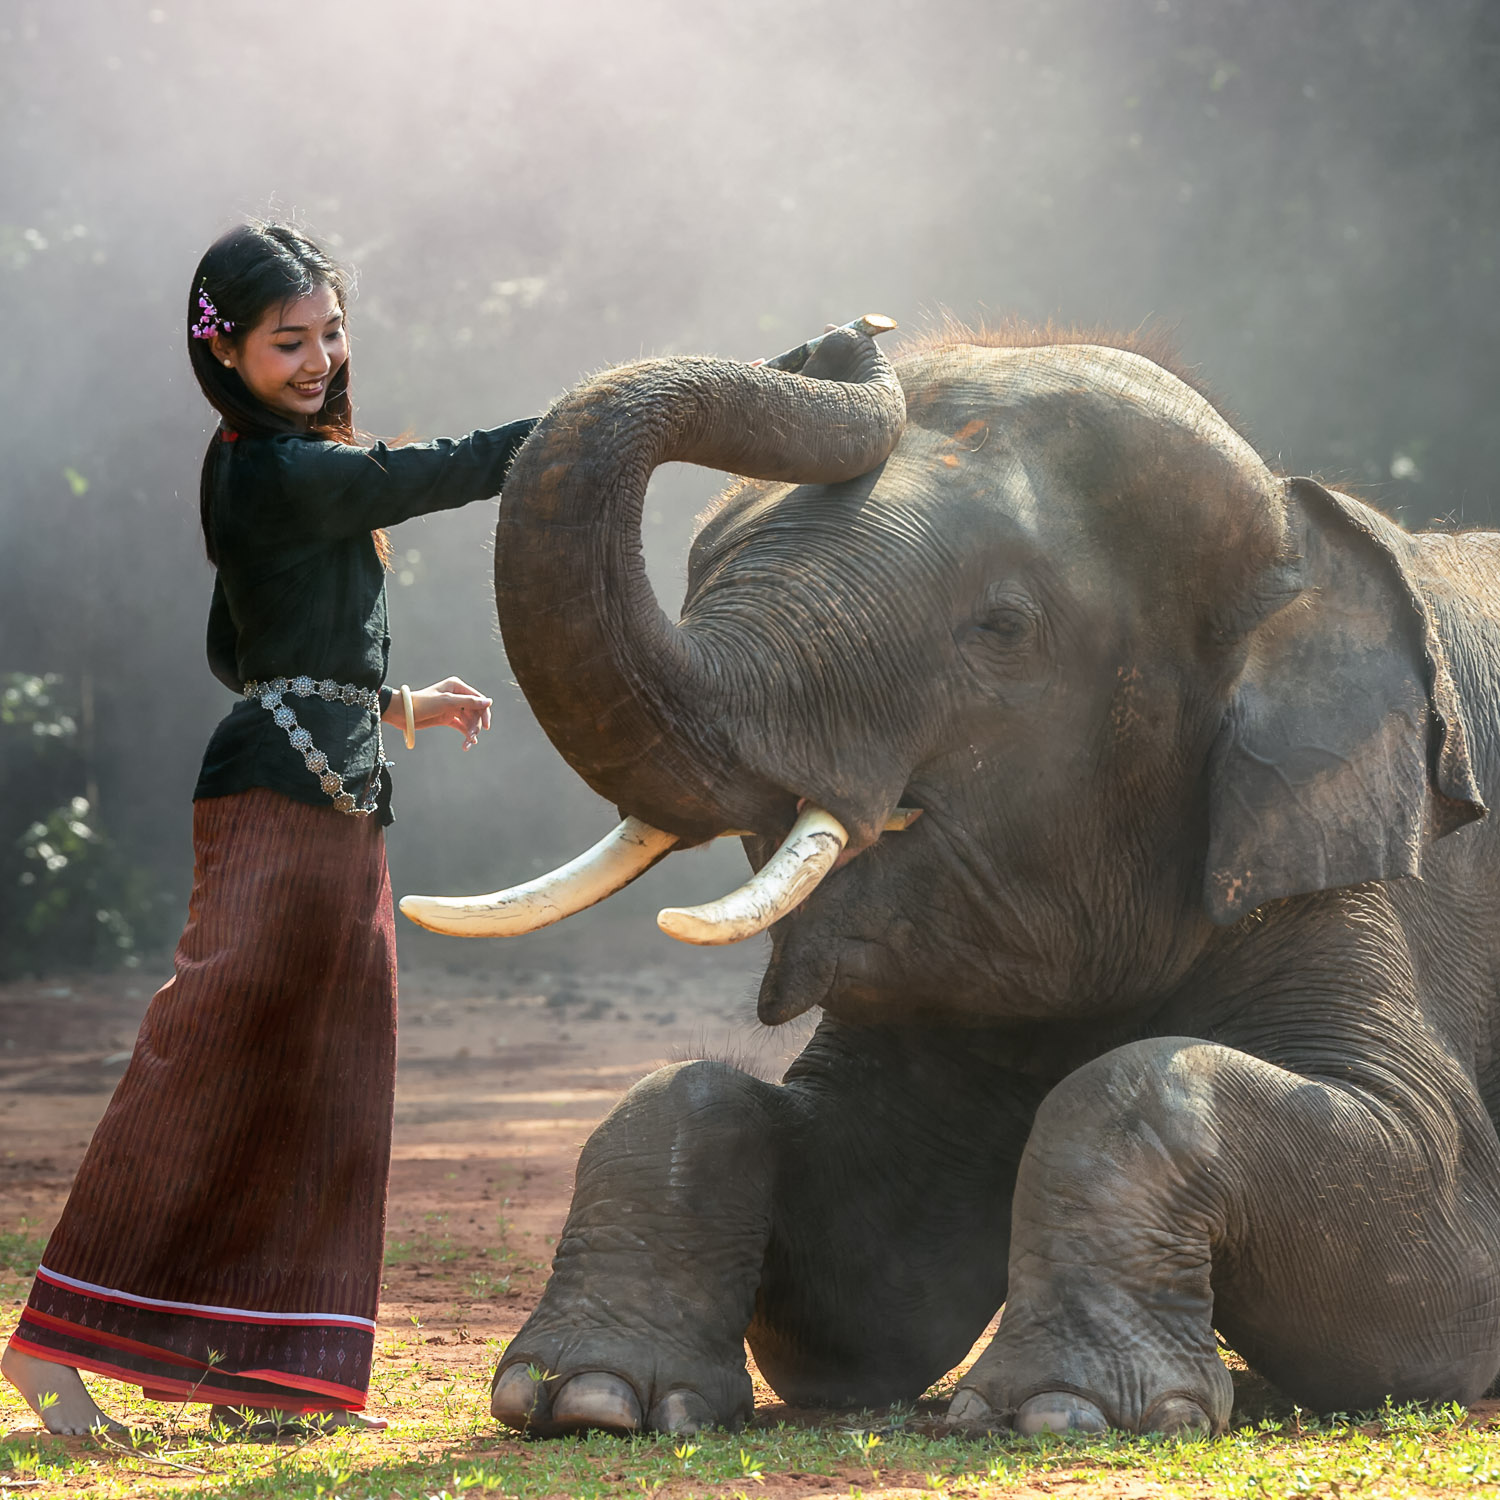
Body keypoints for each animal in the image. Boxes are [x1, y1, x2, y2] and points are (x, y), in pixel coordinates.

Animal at [421, 322, 1500, 1439]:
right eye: (702, 569)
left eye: (1004, 627)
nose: (844, 337)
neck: (1299, 532)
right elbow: (864, 1301)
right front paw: (588, 1399)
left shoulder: (1343, 852)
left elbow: (1441, 1269)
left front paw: (1065, 1412)